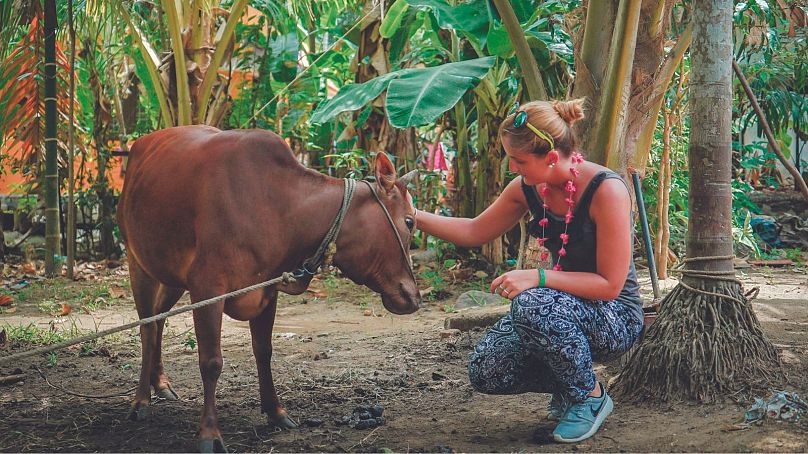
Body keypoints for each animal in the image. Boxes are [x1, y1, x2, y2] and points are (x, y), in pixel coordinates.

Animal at [120, 126, 422, 452]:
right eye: (409, 221)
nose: (413, 297)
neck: (279, 207)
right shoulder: (207, 287)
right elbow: (211, 362)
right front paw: (210, 433)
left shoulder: (269, 290)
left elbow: (264, 351)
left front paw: (276, 412)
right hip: (138, 262)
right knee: (147, 328)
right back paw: (141, 400)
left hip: (171, 276)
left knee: (159, 319)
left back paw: (161, 383)